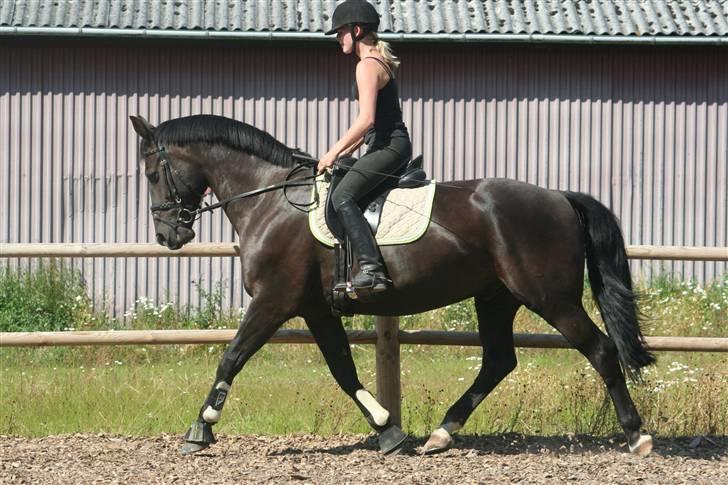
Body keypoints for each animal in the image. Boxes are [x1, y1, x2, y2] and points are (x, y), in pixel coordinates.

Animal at [128, 114, 656, 458]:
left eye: (153, 173)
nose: (169, 235)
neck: (272, 201)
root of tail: (560, 198)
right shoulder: (315, 309)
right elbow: (343, 370)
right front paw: (387, 431)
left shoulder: (274, 301)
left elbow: (232, 356)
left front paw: (200, 428)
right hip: (495, 297)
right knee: (499, 361)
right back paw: (441, 434)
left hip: (549, 297)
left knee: (601, 350)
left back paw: (638, 437)